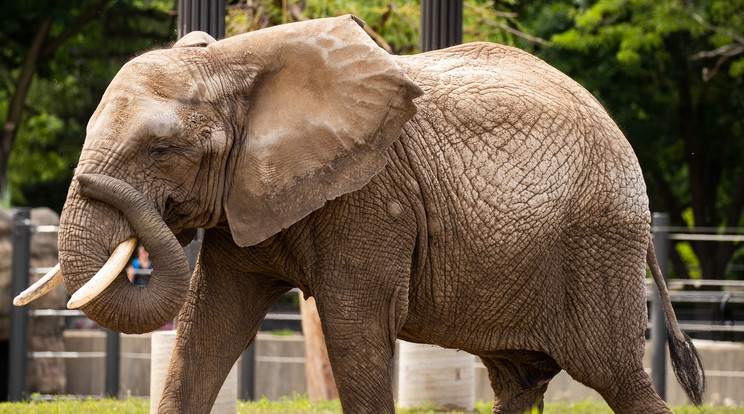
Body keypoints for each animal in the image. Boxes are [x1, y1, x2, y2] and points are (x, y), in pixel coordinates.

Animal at [16, 14, 704, 412]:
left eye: (161, 151)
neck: (237, 61)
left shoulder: (372, 198)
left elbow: (355, 332)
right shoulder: (250, 194)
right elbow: (207, 328)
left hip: (597, 245)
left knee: (616, 376)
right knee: (520, 379)